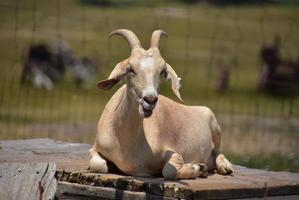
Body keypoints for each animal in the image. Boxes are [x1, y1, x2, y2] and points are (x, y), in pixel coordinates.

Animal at [89, 29, 234, 180]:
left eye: (162, 72)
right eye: (130, 69)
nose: (150, 100)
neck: (125, 145)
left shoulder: (173, 154)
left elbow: (169, 171)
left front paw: (198, 168)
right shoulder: (95, 148)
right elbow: (99, 165)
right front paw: (200, 167)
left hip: (215, 126)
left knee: (218, 151)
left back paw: (225, 167)